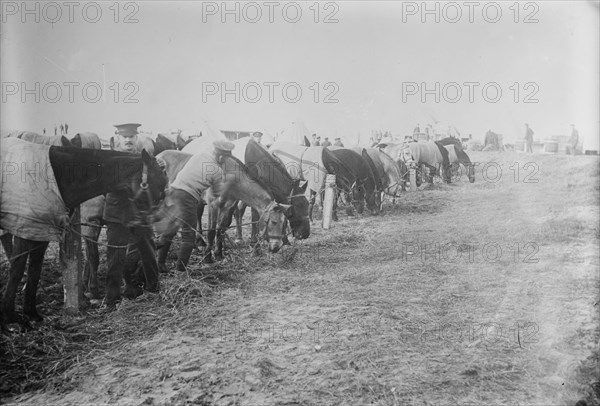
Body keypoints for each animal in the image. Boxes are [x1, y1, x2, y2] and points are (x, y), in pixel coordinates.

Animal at [1, 139, 169, 324]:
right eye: (159, 183)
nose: (150, 220)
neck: (56, 175)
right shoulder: (24, 228)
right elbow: (17, 269)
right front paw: (10, 316)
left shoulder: (41, 231)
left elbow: (35, 270)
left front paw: (32, 313)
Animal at [154, 151, 292, 268]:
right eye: (273, 222)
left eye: (285, 224)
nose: (276, 247)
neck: (231, 179)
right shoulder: (213, 205)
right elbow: (211, 231)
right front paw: (208, 258)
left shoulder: (228, 207)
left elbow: (220, 228)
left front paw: (219, 254)